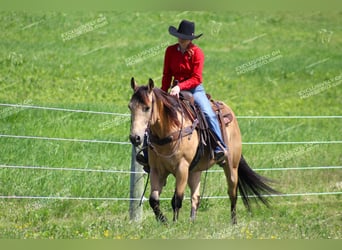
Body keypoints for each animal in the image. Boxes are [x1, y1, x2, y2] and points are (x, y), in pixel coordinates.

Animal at [128, 77, 278, 225]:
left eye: (147, 108)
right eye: (130, 107)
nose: (135, 137)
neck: (170, 129)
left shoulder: (182, 168)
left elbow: (177, 199)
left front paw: (174, 224)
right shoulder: (156, 170)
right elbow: (154, 200)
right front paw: (163, 220)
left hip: (232, 167)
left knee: (232, 193)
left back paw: (233, 222)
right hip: (195, 170)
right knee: (196, 196)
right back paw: (192, 221)